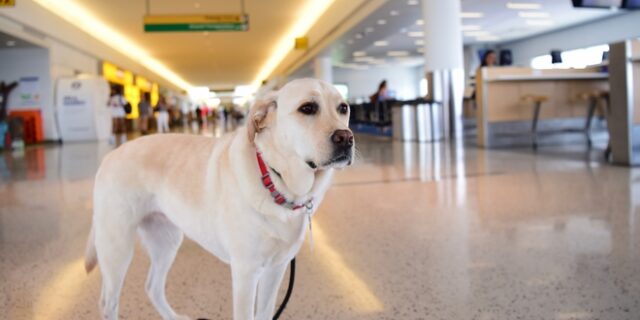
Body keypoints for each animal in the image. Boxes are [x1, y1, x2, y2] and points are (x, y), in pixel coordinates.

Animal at [84, 78, 356, 320]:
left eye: (343, 108)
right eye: (307, 108)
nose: (346, 137)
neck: (278, 182)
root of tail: (110, 156)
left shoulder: (275, 269)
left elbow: (265, 313)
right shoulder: (246, 272)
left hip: (166, 241)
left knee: (152, 287)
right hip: (117, 247)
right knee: (108, 302)